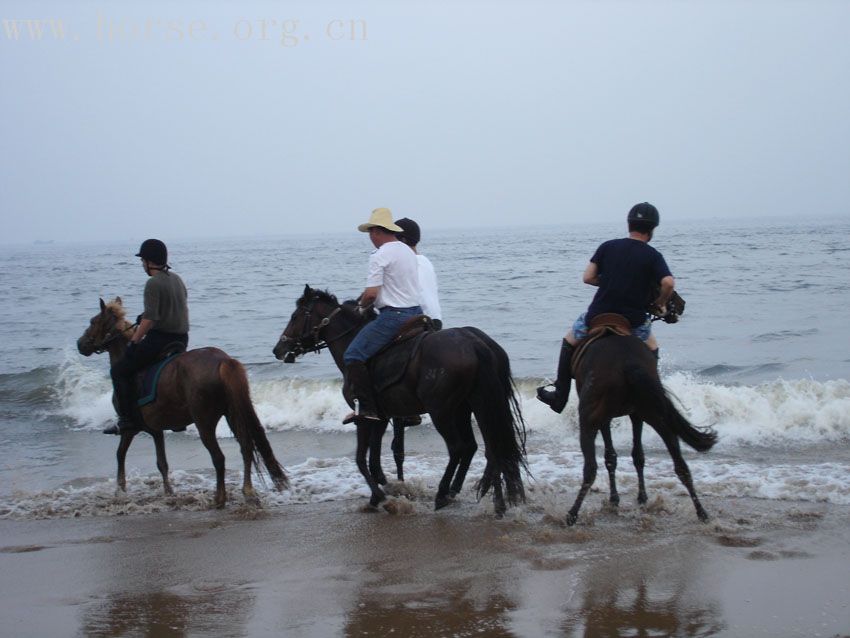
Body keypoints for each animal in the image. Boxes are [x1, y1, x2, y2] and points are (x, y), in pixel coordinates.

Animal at [77, 298, 288, 508]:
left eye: (93, 322)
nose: (80, 344)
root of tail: (223, 360)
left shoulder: (130, 428)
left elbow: (120, 454)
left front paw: (120, 490)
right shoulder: (156, 430)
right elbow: (161, 463)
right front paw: (168, 492)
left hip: (204, 423)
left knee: (219, 458)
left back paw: (219, 498)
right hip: (233, 414)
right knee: (246, 448)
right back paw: (248, 491)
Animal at [274, 288, 524, 516]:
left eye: (295, 316)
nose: (278, 349)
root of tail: (473, 343)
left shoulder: (363, 417)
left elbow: (360, 459)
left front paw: (380, 497)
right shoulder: (381, 417)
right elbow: (374, 460)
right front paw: (386, 492)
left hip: (442, 411)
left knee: (459, 448)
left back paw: (443, 494)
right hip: (466, 408)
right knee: (483, 448)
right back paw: (484, 499)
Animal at [564, 330, 716, 524]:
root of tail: (628, 361)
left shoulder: (606, 418)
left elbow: (610, 457)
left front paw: (615, 499)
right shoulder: (635, 415)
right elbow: (637, 455)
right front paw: (640, 497)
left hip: (589, 419)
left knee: (590, 468)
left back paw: (572, 513)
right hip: (655, 414)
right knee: (680, 463)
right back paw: (701, 512)